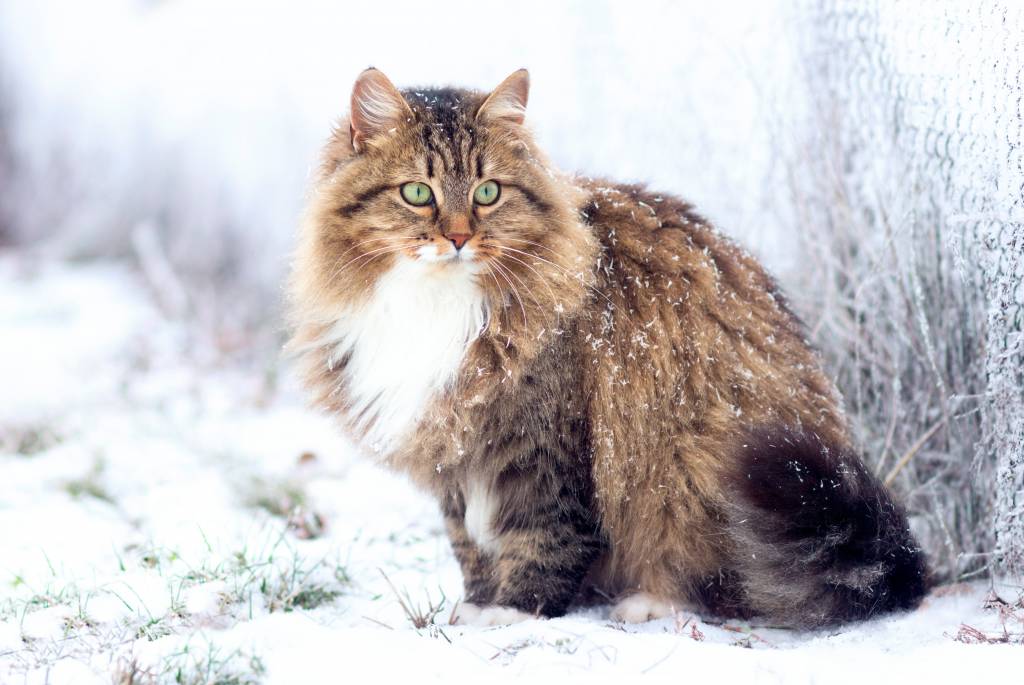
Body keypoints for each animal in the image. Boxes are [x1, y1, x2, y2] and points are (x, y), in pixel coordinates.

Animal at [287, 68, 928, 628]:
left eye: (488, 192)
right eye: (418, 193)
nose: (460, 237)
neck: (435, 303)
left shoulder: (545, 442)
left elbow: (543, 537)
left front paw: (514, 613)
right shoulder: (455, 449)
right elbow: (469, 542)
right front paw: (476, 605)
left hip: (697, 459)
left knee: (721, 583)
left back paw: (647, 602)